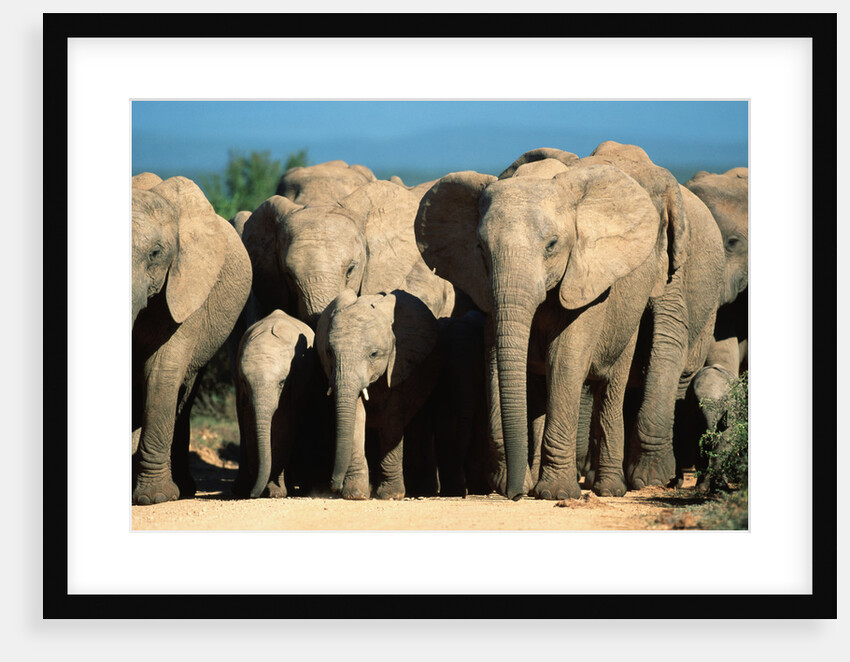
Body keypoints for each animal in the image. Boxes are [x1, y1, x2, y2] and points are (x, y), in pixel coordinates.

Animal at [131, 173, 252, 505]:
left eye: (155, 253)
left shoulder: (190, 288)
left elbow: (162, 371)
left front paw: (154, 498)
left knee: (184, 392)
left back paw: (183, 489)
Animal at [233, 310, 323, 498]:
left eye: (282, 383)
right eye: (245, 382)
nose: (253, 494)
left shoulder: (297, 380)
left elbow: (284, 426)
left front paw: (275, 492)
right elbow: (249, 422)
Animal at [316, 289, 444, 500]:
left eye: (374, 354)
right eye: (329, 352)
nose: (333, 486)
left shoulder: (402, 361)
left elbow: (392, 419)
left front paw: (392, 495)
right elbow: (357, 415)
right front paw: (356, 494)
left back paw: (424, 490)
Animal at [415, 152, 671, 500]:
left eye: (552, 245)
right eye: (480, 248)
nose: (513, 493)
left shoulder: (586, 283)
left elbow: (564, 360)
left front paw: (556, 494)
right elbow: (494, 360)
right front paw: (513, 484)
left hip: (629, 313)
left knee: (610, 386)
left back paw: (608, 489)